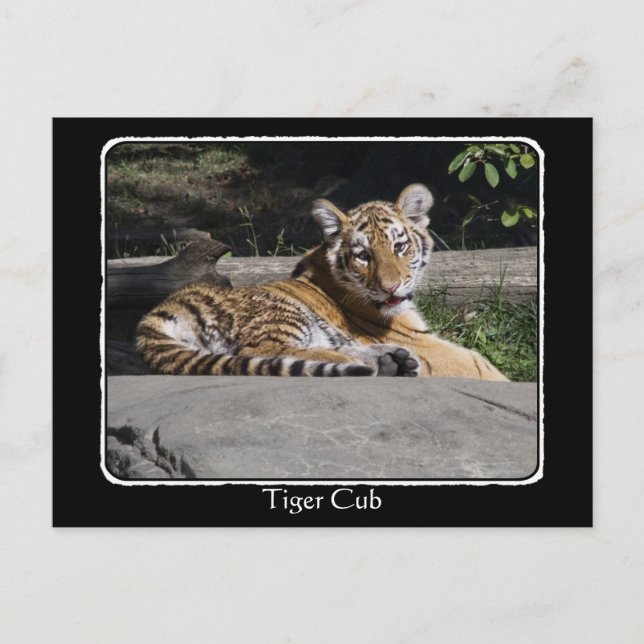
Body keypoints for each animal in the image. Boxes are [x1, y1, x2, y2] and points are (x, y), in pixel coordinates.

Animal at [135, 184, 508, 380]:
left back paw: (393, 361)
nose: (390, 288)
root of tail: (157, 313)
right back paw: (378, 364)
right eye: (363, 255)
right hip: (281, 315)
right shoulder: (427, 343)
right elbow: (481, 364)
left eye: (399, 247)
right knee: (267, 355)